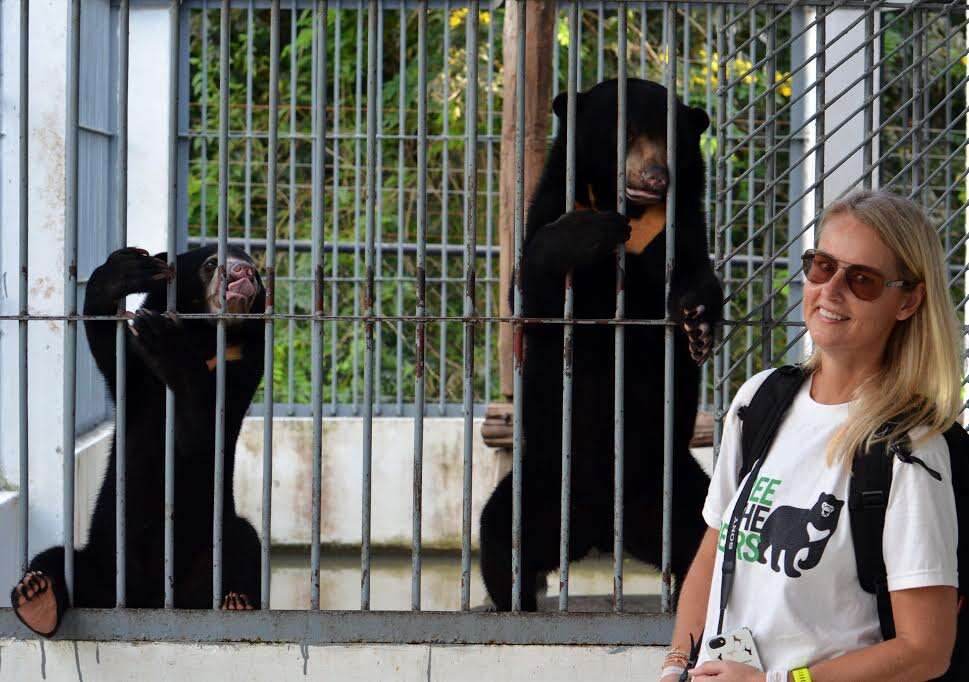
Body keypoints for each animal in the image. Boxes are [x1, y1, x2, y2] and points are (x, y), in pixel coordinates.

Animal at [12, 243, 268, 632]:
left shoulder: (241, 366)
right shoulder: (134, 376)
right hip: (102, 571)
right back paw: (36, 598)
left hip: (206, 557)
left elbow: (202, 433)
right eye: (212, 264)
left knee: (243, 542)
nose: (244, 274)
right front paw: (128, 270)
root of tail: (145, 602)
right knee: (55, 559)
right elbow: (108, 345)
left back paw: (236, 603)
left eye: (257, 271)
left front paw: (166, 342)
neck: (206, 337)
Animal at [480, 77, 724, 608]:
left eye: (670, 138)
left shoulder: (676, 229)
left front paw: (697, 322)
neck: (628, 205)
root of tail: (601, 531)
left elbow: (687, 277)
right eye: (624, 132)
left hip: (676, 490)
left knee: (703, 544)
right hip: (540, 482)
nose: (656, 177)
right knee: (500, 538)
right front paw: (587, 235)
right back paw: (517, 603)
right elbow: (532, 292)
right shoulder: (554, 204)